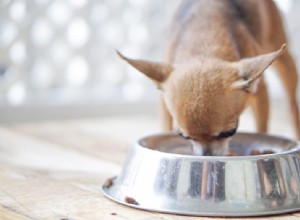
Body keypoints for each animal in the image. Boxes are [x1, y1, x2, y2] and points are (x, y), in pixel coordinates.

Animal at [118, 0, 298, 155]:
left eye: (229, 132)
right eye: (183, 136)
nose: (206, 156)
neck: (204, 46)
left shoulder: (259, 92)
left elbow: (261, 128)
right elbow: (165, 125)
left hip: (284, 60)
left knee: (292, 102)